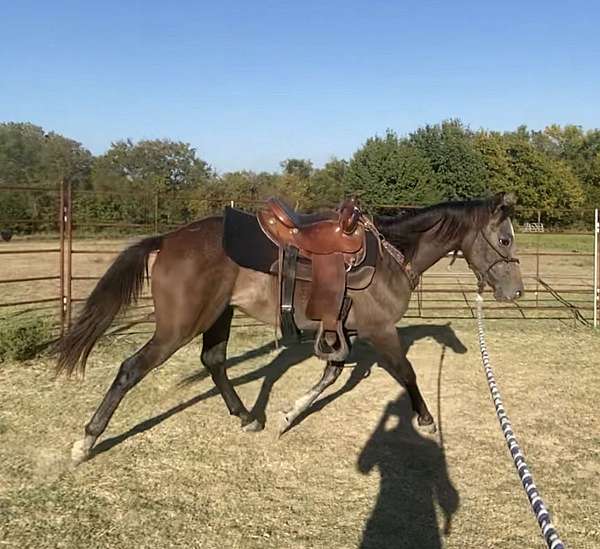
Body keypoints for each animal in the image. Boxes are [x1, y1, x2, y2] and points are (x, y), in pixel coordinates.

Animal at [57, 193, 524, 462]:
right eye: (504, 240)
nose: (516, 290)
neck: (392, 256)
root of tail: (168, 239)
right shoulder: (380, 331)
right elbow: (406, 373)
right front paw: (426, 419)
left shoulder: (342, 332)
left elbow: (330, 373)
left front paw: (289, 414)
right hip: (178, 327)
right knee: (131, 369)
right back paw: (86, 442)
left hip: (218, 315)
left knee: (214, 360)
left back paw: (247, 416)